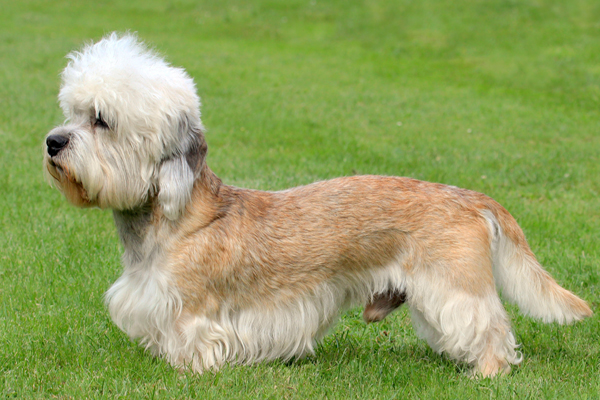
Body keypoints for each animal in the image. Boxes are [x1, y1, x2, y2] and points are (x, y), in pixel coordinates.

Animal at [44, 32, 592, 376]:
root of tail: (471, 198)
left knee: (490, 327)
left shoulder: (193, 314)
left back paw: (487, 373)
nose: (52, 142)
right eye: (70, 112)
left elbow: (194, 344)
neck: (171, 222)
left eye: (101, 120)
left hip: (456, 288)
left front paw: (188, 371)